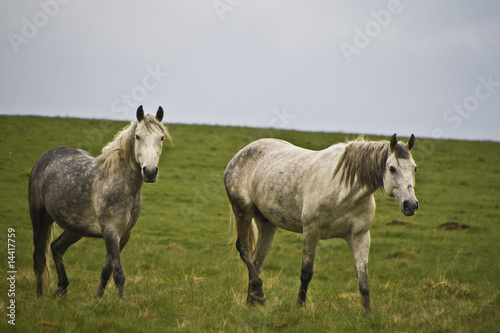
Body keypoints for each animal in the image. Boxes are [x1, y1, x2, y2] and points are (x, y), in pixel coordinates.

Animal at [29, 105, 170, 296]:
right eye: (138, 136)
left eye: (161, 137)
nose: (149, 172)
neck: (121, 184)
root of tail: (45, 157)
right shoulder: (110, 232)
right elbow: (118, 273)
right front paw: (121, 302)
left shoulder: (123, 235)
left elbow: (107, 271)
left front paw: (97, 299)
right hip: (40, 219)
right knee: (39, 259)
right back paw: (40, 296)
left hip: (75, 228)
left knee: (56, 247)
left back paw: (62, 288)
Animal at [224, 134, 418, 310]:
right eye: (392, 168)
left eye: (414, 168)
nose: (411, 205)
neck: (342, 190)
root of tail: (238, 156)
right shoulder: (311, 231)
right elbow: (306, 272)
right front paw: (300, 307)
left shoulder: (360, 237)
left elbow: (363, 279)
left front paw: (367, 313)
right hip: (243, 210)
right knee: (245, 250)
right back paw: (259, 294)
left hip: (267, 223)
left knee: (257, 260)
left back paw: (253, 301)